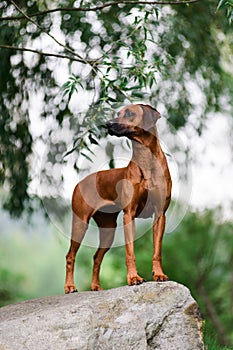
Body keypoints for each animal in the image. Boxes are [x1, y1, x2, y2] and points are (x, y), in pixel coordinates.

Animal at [64, 104, 172, 292]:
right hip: (80, 222)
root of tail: (79, 183)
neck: (147, 162)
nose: (108, 124)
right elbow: (130, 252)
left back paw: (96, 287)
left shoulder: (160, 215)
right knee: (70, 256)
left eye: (129, 113)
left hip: (109, 230)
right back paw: (70, 287)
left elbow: (157, 251)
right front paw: (134, 278)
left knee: (97, 257)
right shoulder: (129, 215)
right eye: (117, 113)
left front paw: (159, 274)